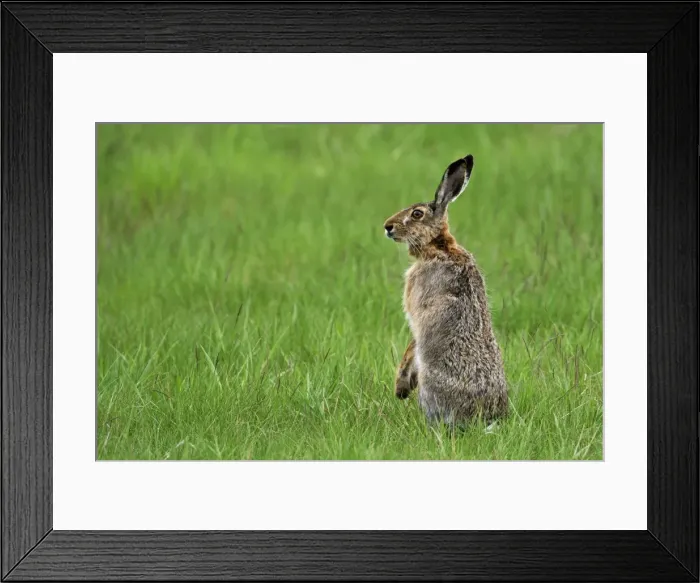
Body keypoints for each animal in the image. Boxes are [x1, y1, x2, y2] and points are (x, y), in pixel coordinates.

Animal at [383, 155, 508, 427]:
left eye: (416, 214)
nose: (387, 227)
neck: (437, 245)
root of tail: (484, 419)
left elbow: (413, 343)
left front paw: (401, 386)